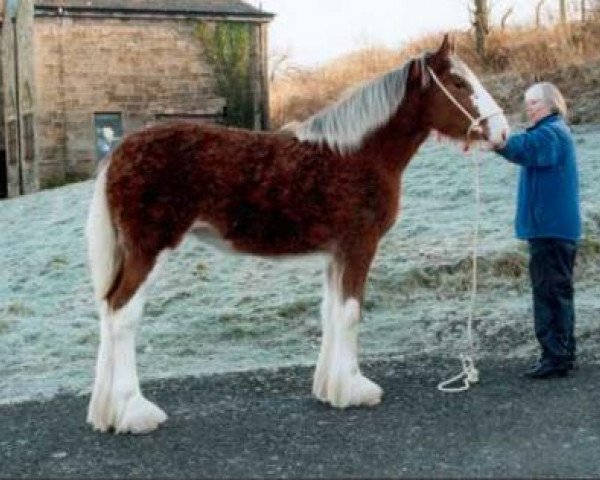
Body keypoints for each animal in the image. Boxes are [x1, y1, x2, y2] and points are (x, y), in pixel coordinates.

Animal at [85, 36, 506, 436]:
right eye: (458, 83)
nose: (502, 132)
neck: (360, 154)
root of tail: (119, 152)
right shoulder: (359, 246)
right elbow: (350, 313)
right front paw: (356, 388)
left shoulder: (336, 254)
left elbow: (332, 312)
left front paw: (330, 388)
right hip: (149, 250)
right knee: (123, 315)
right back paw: (135, 412)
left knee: (107, 310)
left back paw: (107, 413)